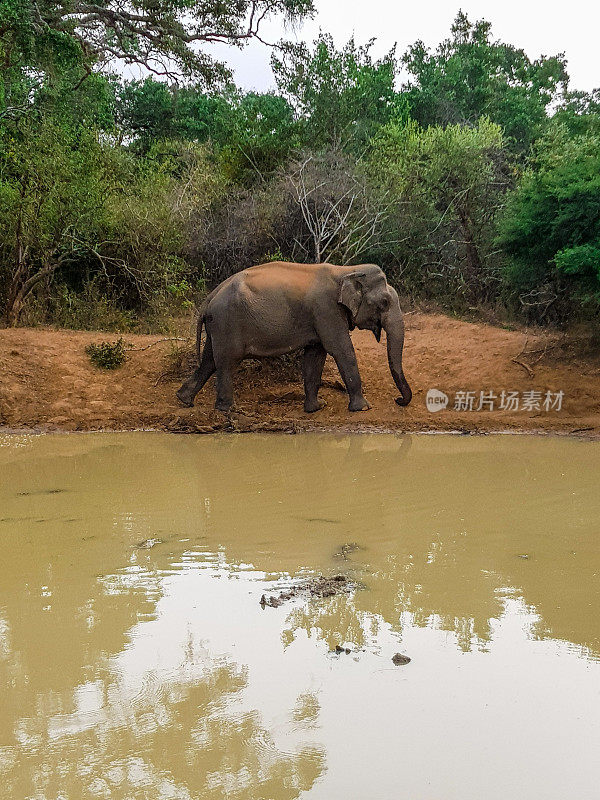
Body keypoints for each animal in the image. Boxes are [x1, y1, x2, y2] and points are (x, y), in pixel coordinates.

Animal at [175, 260, 412, 412]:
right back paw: (229, 410)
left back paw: (184, 400)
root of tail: (210, 297)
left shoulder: (319, 316)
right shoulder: (326, 310)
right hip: (227, 322)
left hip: (218, 325)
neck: (346, 271)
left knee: (210, 360)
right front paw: (363, 408)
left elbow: (315, 355)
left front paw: (316, 408)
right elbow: (340, 349)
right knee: (226, 362)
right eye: (384, 303)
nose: (398, 399)